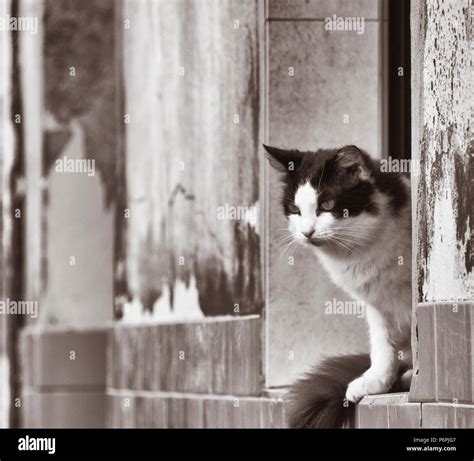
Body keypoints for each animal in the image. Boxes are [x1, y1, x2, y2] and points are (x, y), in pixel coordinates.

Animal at [264, 144, 412, 428]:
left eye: (327, 205)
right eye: (295, 209)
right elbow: (383, 346)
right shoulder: (378, 304)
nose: (307, 232)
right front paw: (375, 381)